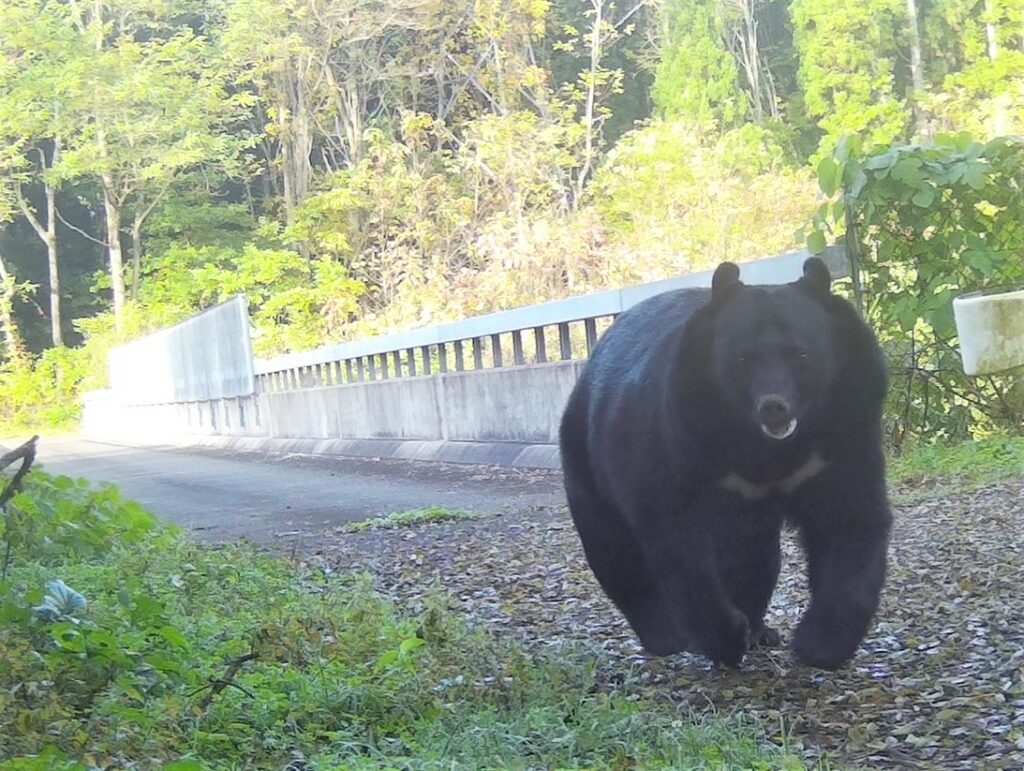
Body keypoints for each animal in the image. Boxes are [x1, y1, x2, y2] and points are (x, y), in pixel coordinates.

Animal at [558, 257, 892, 669]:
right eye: (742, 359)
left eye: (801, 355)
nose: (774, 406)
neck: (768, 450)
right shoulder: (681, 438)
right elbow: (678, 539)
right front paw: (726, 638)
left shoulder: (842, 438)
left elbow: (848, 520)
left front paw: (818, 643)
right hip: (588, 460)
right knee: (615, 552)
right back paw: (667, 635)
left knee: (754, 557)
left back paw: (761, 629)